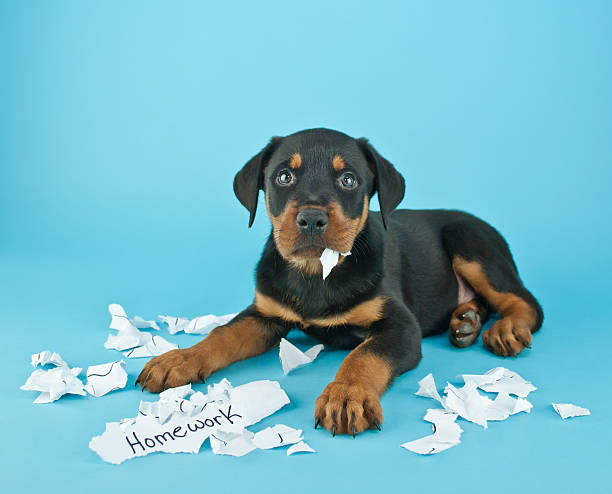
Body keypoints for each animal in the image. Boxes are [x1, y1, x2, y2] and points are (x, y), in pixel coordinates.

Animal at [136, 126, 544, 436]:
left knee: (528, 303)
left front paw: (346, 396)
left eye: (348, 180)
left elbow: (363, 355)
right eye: (283, 177)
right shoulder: (264, 313)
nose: (312, 219)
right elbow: (222, 334)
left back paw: (505, 329)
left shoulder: (400, 326)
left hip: (468, 240)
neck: (316, 273)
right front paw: (180, 359)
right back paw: (466, 321)